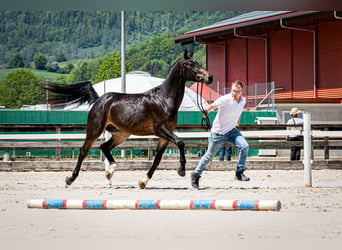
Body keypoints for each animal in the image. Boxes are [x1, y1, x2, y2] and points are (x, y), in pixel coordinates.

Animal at [44, 49, 212, 188]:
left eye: (197, 62)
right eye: (190, 64)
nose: (209, 77)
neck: (163, 99)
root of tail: (99, 100)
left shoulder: (164, 136)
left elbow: (157, 159)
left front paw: (143, 182)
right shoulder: (161, 129)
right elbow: (181, 142)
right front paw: (181, 170)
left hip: (121, 134)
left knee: (104, 147)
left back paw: (110, 171)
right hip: (95, 130)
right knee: (84, 150)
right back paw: (70, 179)